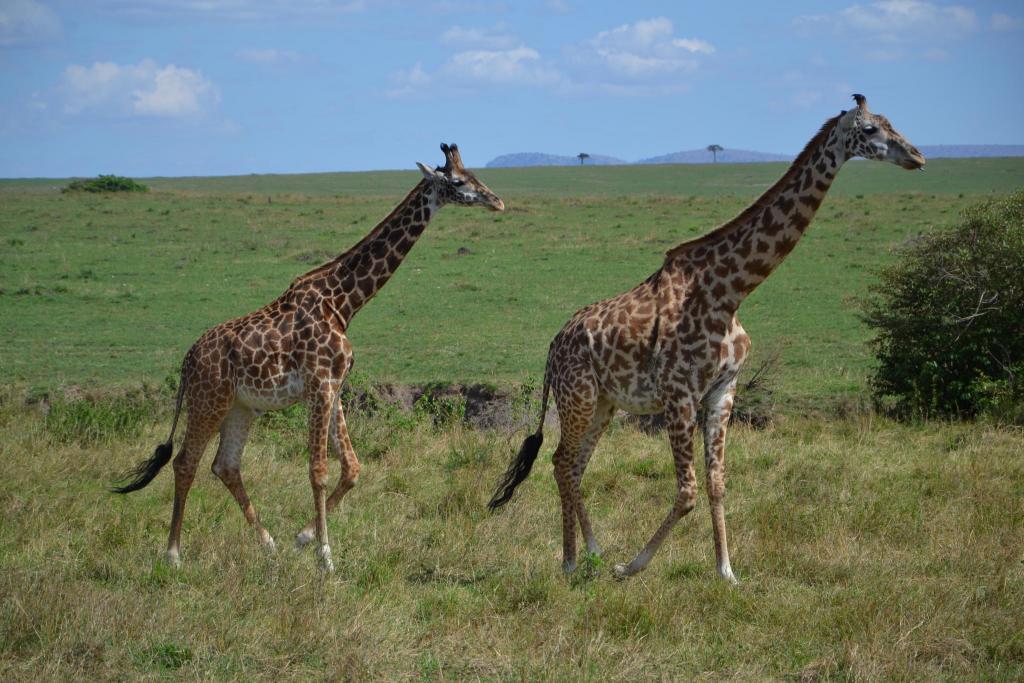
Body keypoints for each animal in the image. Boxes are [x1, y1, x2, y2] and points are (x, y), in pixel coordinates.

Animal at [115, 143, 503, 573]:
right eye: (458, 182)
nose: (498, 201)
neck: (344, 302)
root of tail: (187, 360)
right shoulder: (319, 385)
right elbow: (318, 470)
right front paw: (325, 557)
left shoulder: (334, 386)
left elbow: (352, 468)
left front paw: (301, 538)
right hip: (208, 400)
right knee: (186, 462)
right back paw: (173, 555)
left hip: (240, 407)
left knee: (225, 465)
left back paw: (267, 544)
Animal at [487, 92, 929, 581]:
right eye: (870, 129)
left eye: (892, 122)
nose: (917, 157)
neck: (729, 291)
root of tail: (553, 346)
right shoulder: (679, 393)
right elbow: (687, 492)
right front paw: (632, 566)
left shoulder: (723, 390)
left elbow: (716, 483)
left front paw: (726, 572)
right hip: (578, 396)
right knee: (562, 462)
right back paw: (571, 562)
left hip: (604, 403)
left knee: (573, 465)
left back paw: (594, 552)